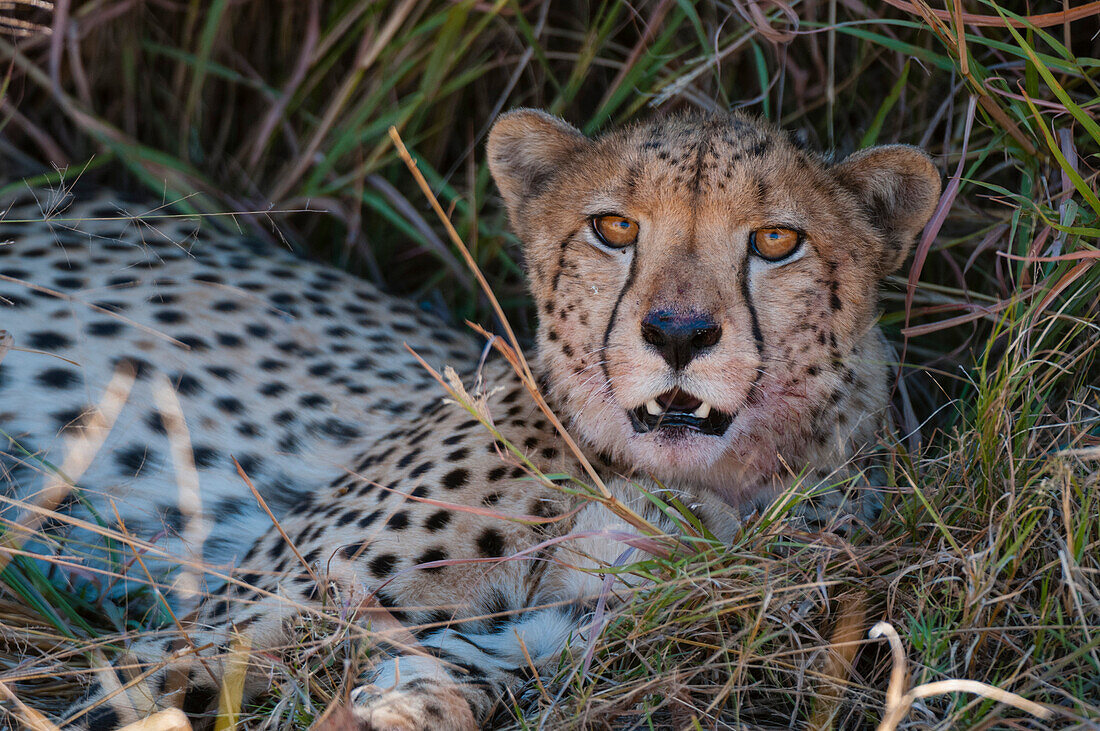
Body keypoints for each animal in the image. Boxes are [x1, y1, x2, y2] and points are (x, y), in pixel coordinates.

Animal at [2, 105, 937, 725]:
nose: (677, 332)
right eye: (613, 227)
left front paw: (402, 704)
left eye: (777, 241)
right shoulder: (223, 623)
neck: (688, 483)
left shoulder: (556, 640)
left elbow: (469, 674)